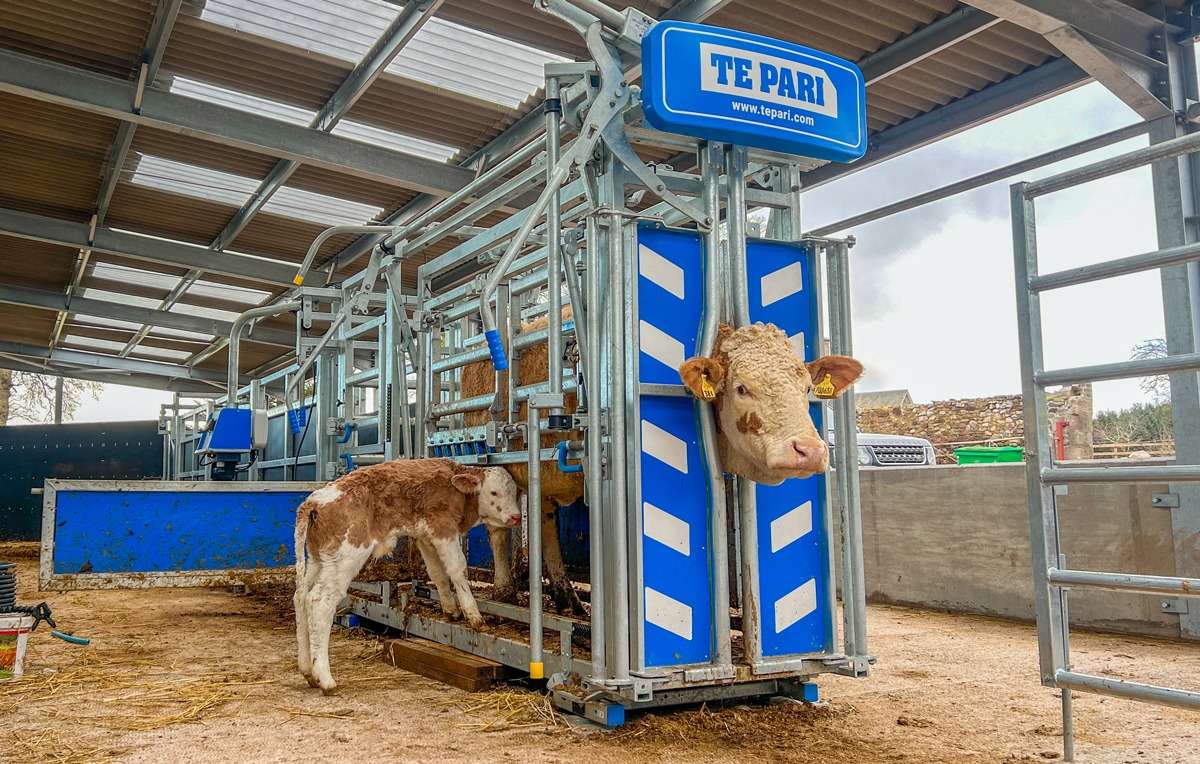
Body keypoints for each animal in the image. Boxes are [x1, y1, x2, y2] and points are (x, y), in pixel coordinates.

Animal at [294, 455, 520, 695]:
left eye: (514, 491)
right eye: (494, 492)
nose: (516, 517)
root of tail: (315, 500)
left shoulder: (426, 537)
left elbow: (437, 573)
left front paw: (451, 609)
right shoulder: (444, 528)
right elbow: (458, 569)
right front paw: (474, 616)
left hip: (318, 560)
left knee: (301, 597)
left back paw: (307, 670)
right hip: (345, 558)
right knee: (319, 602)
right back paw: (325, 678)